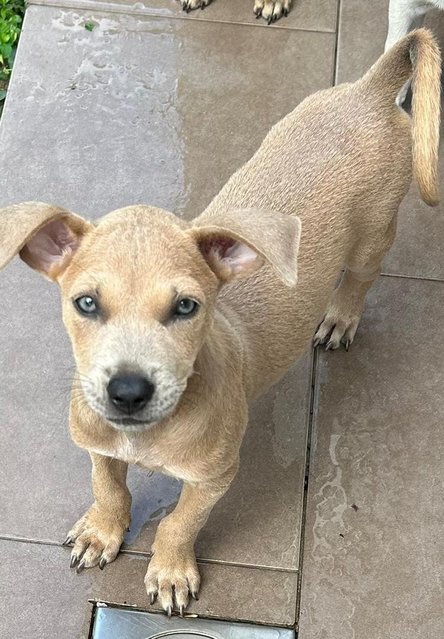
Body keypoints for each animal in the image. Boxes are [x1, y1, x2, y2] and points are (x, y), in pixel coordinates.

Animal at [0, 28, 438, 616]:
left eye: (186, 307)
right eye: (85, 303)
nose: (127, 392)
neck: (148, 435)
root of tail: (369, 91)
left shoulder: (215, 476)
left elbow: (181, 523)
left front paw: (169, 572)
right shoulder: (96, 444)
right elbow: (108, 486)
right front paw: (102, 531)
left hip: (374, 234)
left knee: (360, 280)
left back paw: (340, 318)